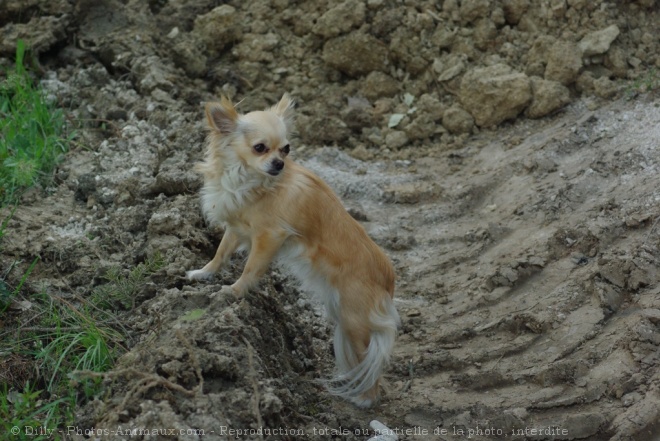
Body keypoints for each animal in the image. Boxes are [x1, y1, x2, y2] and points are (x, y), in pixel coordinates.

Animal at [188, 93, 400, 406]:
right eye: (260, 148)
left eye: (286, 149)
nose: (278, 163)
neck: (249, 179)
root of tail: (388, 278)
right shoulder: (237, 228)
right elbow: (220, 253)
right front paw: (203, 273)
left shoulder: (269, 237)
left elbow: (251, 268)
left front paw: (234, 292)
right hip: (343, 314)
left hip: (354, 320)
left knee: (371, 361)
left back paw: (365, 398)